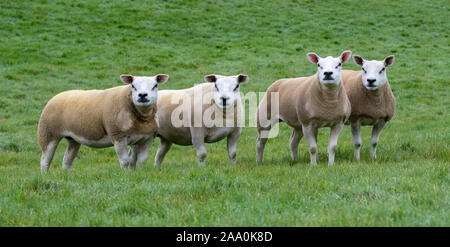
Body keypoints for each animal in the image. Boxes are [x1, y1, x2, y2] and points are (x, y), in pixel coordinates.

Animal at [37, 74, 169, 172]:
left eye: (155, 85)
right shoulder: (117, 135)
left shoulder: (147, 138)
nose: (142, 95)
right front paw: (126, 175)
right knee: (45, 160)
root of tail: (58, 95)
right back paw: (45, 175)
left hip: (73, 138)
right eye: (133, 86)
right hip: (48, 133)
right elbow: (125, 161)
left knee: (67, 160)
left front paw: (140, 173)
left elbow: (142, 160)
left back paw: (66, 175)